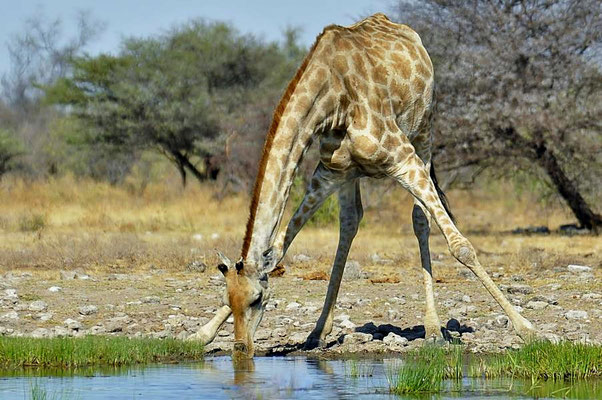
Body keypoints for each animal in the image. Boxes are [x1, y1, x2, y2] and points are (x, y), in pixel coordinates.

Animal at [189, 12, 536, 358]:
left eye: (258, 300)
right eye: (227, 299)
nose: (241, 348)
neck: (332, 99)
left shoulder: (402, 157)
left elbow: (460, 246)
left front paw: (527, 329)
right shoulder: (327, 174)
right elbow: (278, 247)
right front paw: (201, 333)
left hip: (424, 134)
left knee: (420, 218)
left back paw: (434, 328)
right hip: (351, 175)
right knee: (351, 221)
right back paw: (318, 331)